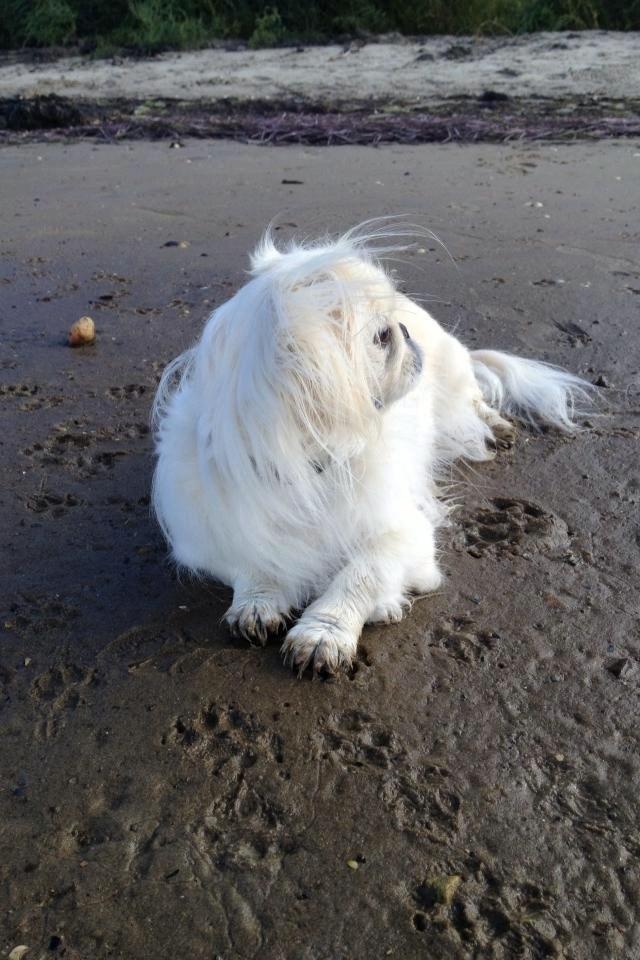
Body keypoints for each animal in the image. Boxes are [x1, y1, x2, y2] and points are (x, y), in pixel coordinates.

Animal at [151, 225, 592, 676]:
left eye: (391, 330)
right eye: (381, 337)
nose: (405, 330)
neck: (310, 467)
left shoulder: (406, 535)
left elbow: (361, 573)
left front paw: (323, 634)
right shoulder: (213, 534)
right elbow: (257, 561)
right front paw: (257, 605)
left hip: (452, 383)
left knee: (473, 404)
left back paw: (498, 427)